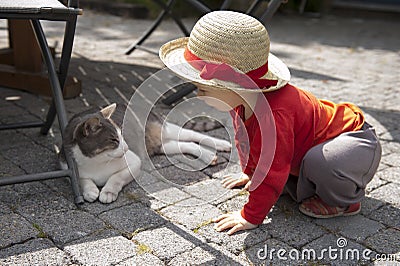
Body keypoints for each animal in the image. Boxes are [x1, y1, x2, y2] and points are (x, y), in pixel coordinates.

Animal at [59, 103, 231, 203]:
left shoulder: (134, 162)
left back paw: (221, 145)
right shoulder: (65, 164)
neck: (97, 161)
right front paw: (90, 191)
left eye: (122, 134)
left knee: (192, 135)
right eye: (114, 140)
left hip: (165, 129)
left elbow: (117, 177)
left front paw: (108, 191)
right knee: (186, 145)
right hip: (162, 145)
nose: (127, 147)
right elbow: (81, 179)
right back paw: (208, 156)